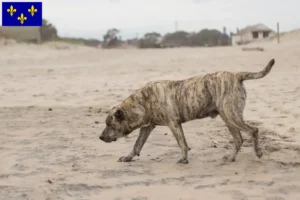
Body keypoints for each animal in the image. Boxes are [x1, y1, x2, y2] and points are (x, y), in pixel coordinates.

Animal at [99, 58, 276, 164]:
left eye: (110, 124)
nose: (100, 137)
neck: (142, 102)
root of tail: (236, 75)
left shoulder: (174, 124)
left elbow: (182, 144)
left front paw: (184, 159)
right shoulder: (147, 127)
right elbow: (137, 145)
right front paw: (128, 157)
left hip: (231, 116)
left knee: (253, 130)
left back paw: (258, 152)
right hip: (228, 118)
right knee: (238, 139)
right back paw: (231, 157)